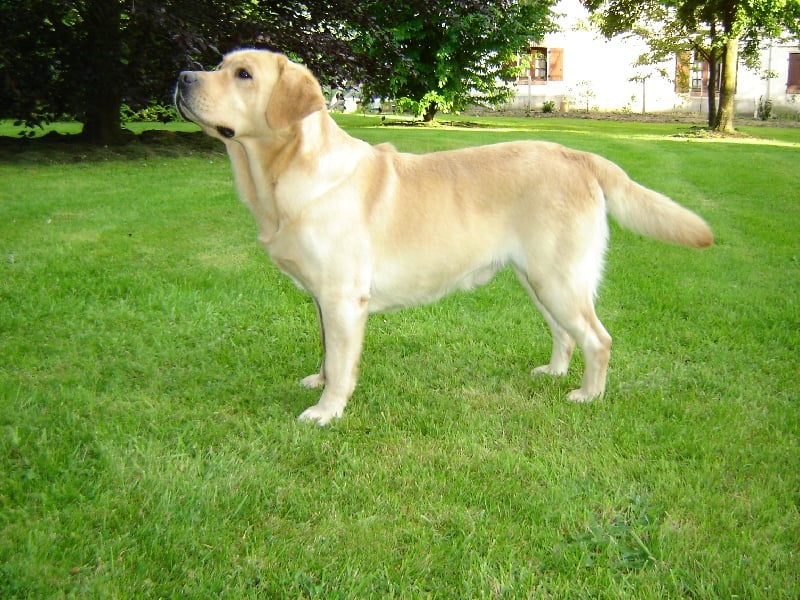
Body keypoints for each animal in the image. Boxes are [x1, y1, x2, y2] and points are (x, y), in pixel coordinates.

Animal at [175, 49, 713, 425]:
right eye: (219, 64)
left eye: (243, 74)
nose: (182, 77)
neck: (282, 177)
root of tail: (578, 155)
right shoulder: (322, 299)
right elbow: (327, 352)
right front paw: (318, 381)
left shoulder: (343, 297)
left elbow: (342, 364)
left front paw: (327, 411)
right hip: (539, 279)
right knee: (565, 333)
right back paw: (555, 372)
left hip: (558, 277)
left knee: (598, 340)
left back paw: (587, 395)